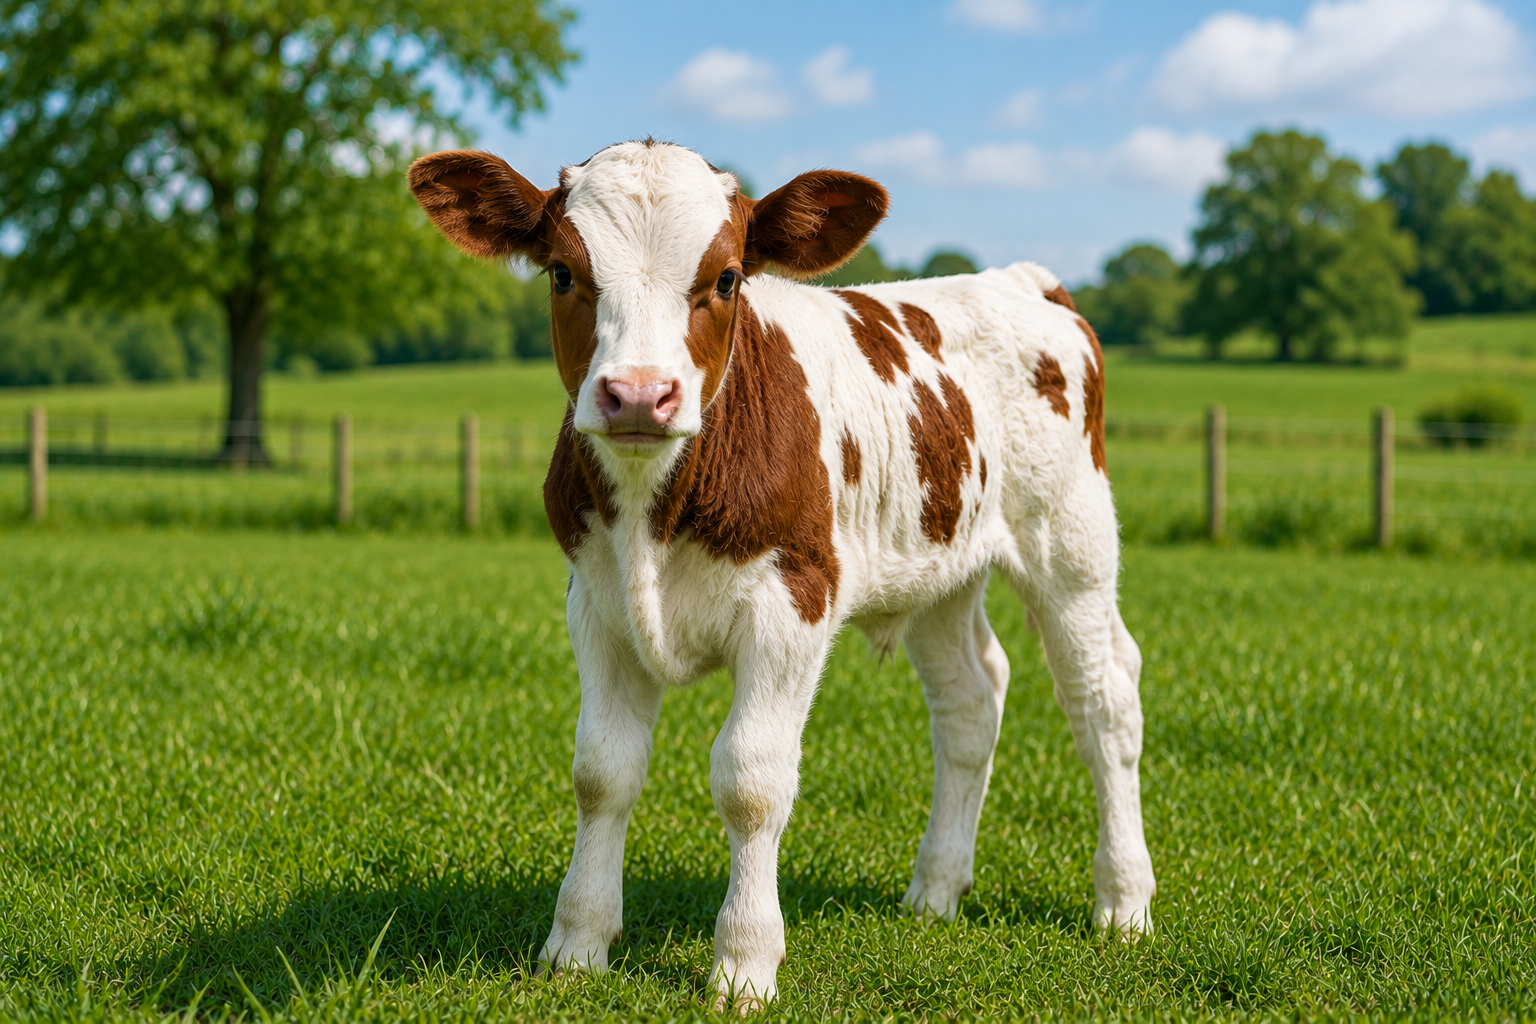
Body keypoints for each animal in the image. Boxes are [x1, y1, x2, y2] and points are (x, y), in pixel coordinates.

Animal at [408, 140, 1155, 1010]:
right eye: (562, 271)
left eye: (728, 277)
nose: (639, 395)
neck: (655, 509)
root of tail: (1018, 280)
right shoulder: (594, 604)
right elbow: (602, 770)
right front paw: (578, 944)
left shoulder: (793, 599)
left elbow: (751, 779)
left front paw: (743, 963)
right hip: (940, 565)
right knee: (970, 700)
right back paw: (935, 890)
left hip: (1071, 542)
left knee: (1104, 701)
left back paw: (1123, 901)